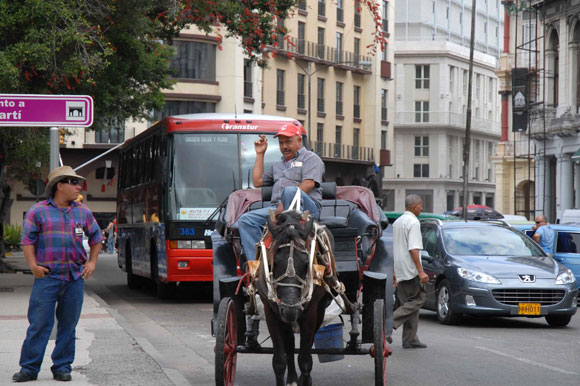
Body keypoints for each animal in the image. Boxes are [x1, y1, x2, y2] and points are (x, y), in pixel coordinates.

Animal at [256, 211, 334, 386]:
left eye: (306, 263)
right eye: (273, 263)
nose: (290, 308)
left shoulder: (311, 312)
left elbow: (305, 359)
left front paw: (306, 379)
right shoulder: (271, 311)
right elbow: (279, 360)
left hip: (317, 311)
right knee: (290, 344)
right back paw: (292, 378)